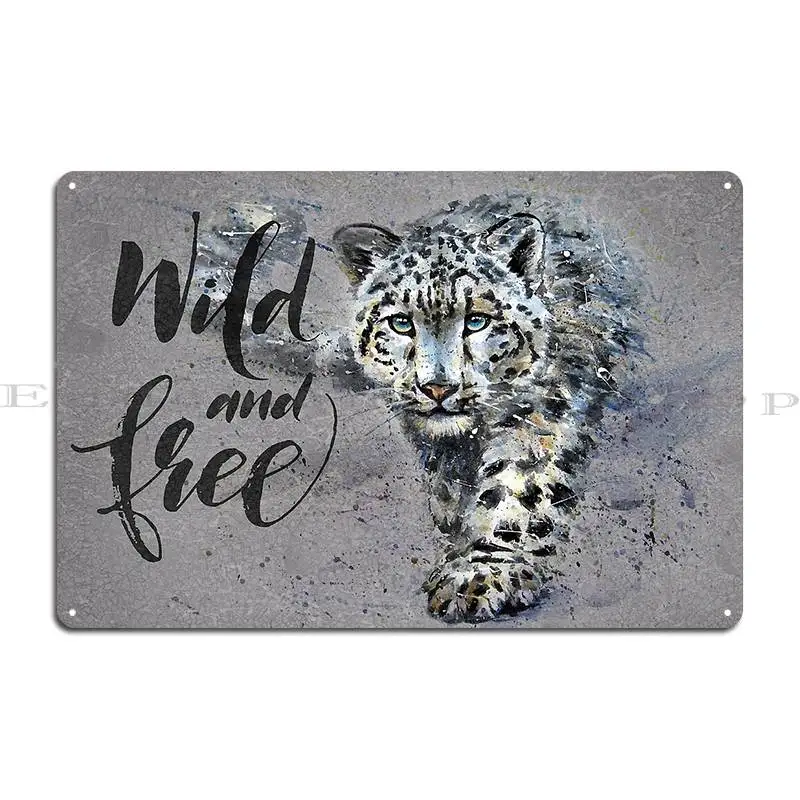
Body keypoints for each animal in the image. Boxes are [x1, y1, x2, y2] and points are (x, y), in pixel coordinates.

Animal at [333, 193, 640, 623]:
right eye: (401, 323)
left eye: (477, 320)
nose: (438, 387)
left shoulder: (538, 420)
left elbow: (517, 491)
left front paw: (481, 572)